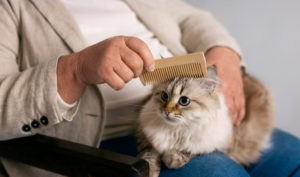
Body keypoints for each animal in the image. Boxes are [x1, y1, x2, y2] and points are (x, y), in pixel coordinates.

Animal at [137, 66, 276, 177]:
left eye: (184, 101)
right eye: (164, 96)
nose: (166, 112)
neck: (176, 129)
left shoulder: (213, 144)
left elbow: (188, 150)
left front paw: (172, 159)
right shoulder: (146, 139)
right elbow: (148, 158)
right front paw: (151, 171)